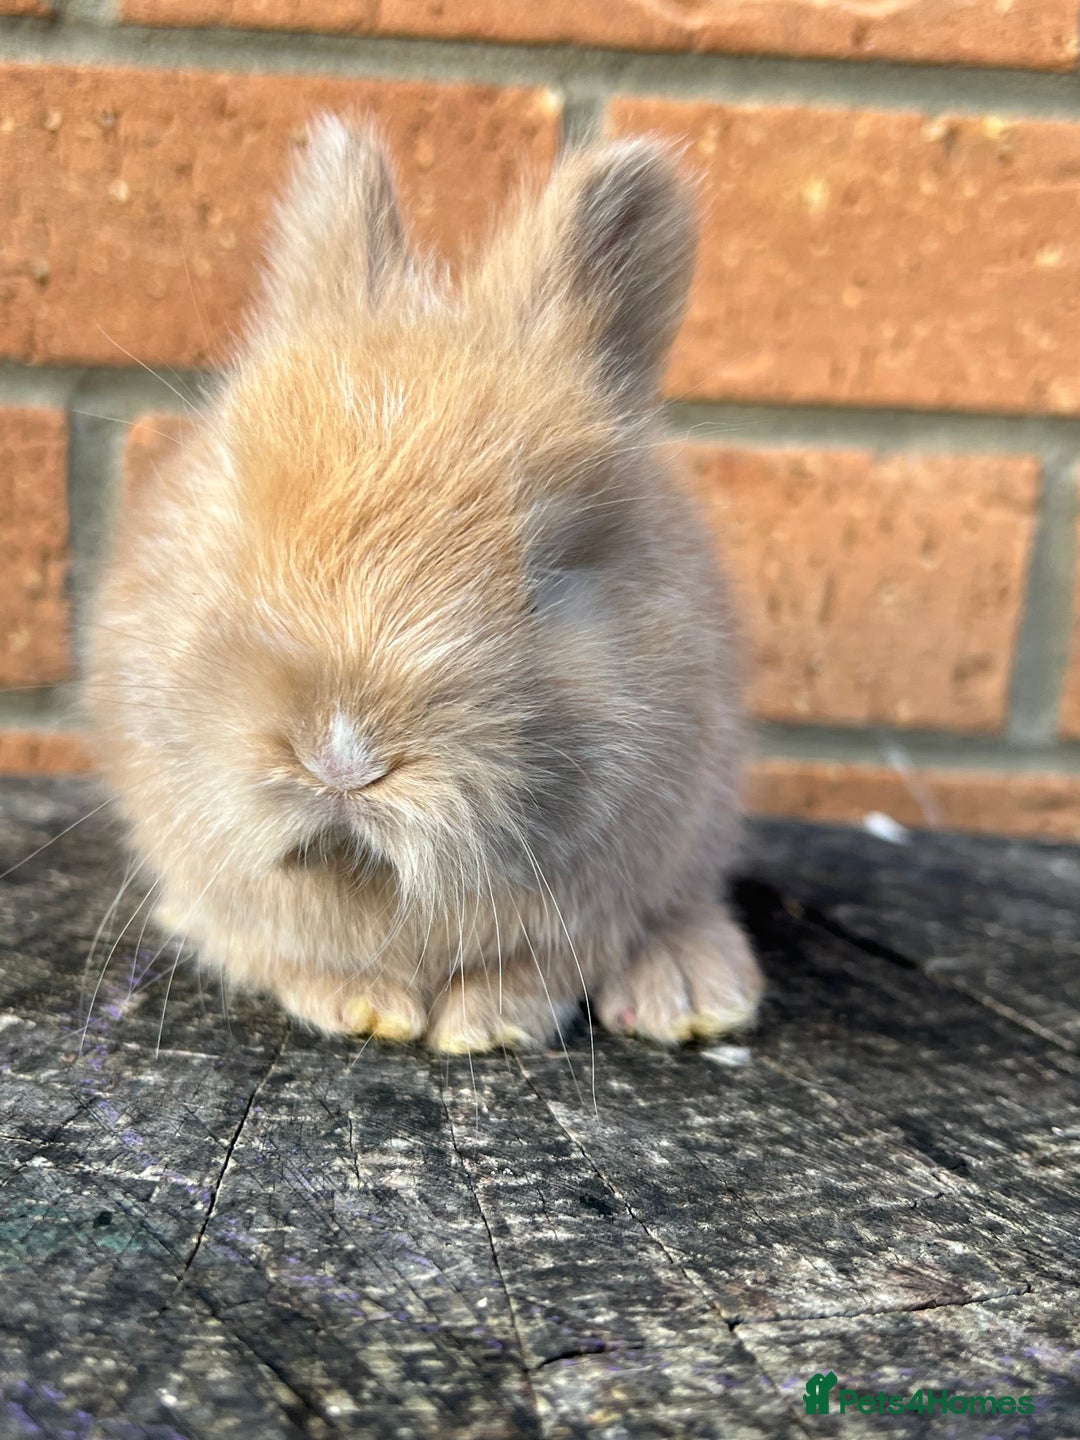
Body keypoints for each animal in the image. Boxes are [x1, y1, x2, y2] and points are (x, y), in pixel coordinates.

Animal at [85, 115, 764, 1052]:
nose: (342, 759)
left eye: (547, 571)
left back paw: (693, 997)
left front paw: (485, 1024)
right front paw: (363, 1006)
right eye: (234, 525)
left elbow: (540, 966)